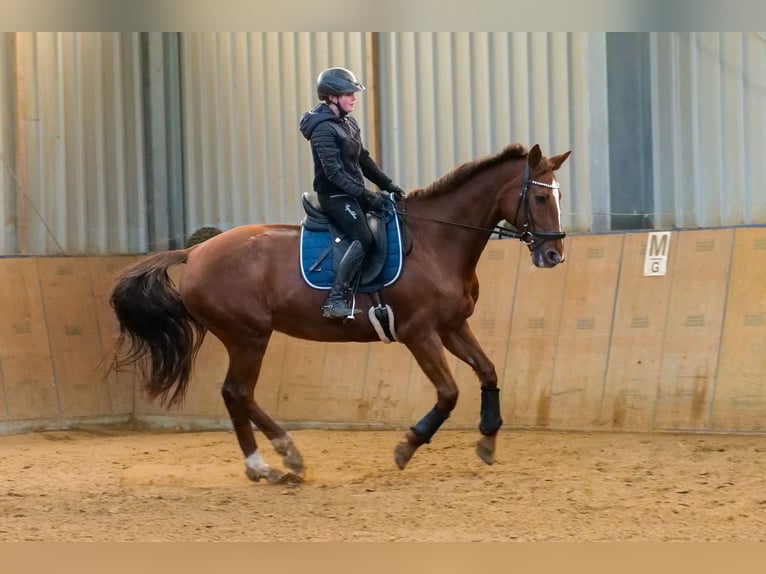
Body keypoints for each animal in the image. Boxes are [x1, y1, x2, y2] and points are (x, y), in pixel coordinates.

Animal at [111, 143, 572, 486]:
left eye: (559, 195)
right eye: (539, 196)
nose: (554, 255)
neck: (438, 240)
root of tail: (195, 253)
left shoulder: (452, 326)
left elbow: (489, 371)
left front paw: (488, 439)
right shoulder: (419, 332)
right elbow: (448, 393)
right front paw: (407, 446)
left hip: (248, 337)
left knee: (239, 394)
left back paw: (279, 460)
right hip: (248, 336)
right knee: (236, 392)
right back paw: (273, 461)